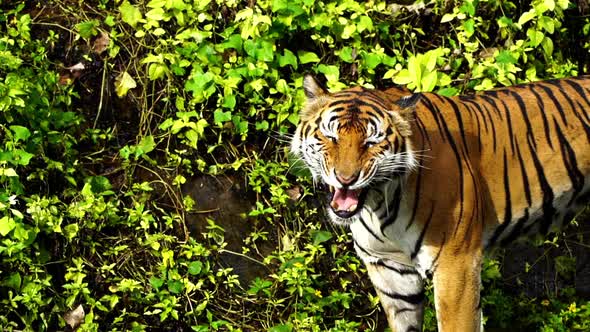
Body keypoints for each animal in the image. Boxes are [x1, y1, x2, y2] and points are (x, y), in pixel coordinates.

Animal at [292, 75, 590, 332]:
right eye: (331, 137)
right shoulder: (389, 269)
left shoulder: (456, 265)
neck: (378, 206)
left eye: (371, 141)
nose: (346, 179)